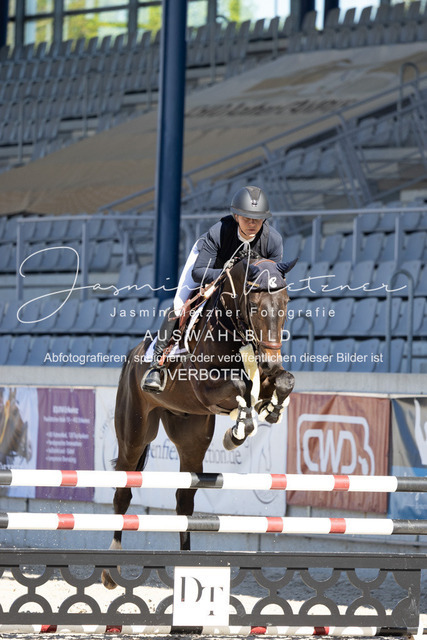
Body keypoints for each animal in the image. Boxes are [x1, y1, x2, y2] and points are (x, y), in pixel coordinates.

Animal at [102, 256, 296, 589]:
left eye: (285, 303)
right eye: (255, 306)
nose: (271, 360)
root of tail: (132, 355)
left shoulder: (265, 376)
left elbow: (283, 381)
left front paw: (268, 411)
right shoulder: (207, 387)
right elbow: (241, 385)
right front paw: (239, 430)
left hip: (191, 439)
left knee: (184, 500)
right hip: (134, 434)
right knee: (123, 492)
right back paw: (110, 571)